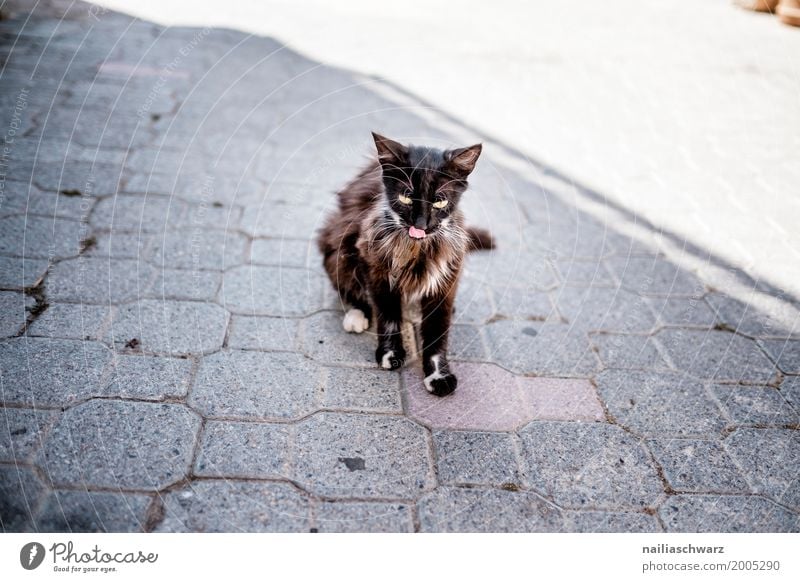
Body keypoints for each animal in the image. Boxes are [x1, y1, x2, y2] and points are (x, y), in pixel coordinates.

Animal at [318, 132, 494, 396]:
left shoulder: (447, 275)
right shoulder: (375, 265)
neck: (417, 248)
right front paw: (390, 352)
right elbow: (388, 314)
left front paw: (438, 374)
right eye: (406, 197)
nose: (420, 225)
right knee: (349, 287)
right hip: (337, 245)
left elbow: (437, 329)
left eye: (440, 202)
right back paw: (356, 315)